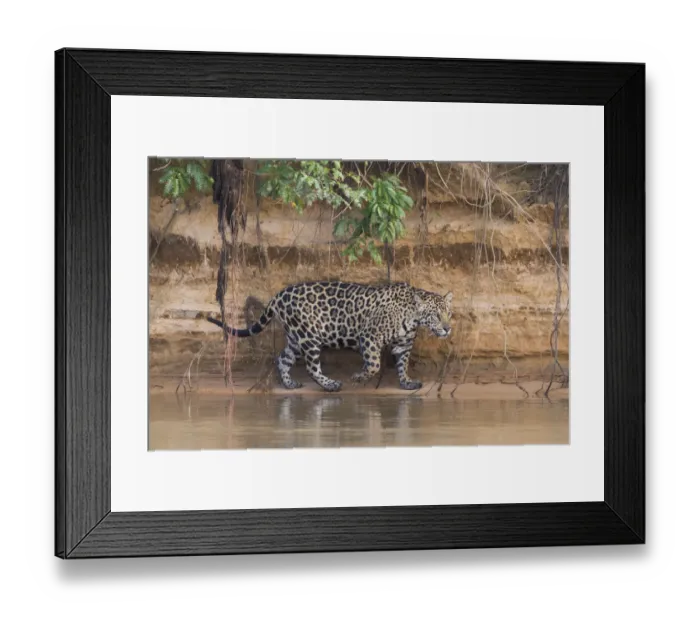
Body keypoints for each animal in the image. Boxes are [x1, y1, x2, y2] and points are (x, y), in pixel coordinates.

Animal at [206, 280, 453, 393]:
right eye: (435, 315)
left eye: (448, 313)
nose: (447, 328)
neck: (412, 316)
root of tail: (279, 295)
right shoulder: (370, 337)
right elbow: (373, 364)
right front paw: (359, 377)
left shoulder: (403, 344)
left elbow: (402, 363)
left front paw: (407, 382)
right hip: (309, 337)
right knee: (311, 367)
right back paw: (331, 384)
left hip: (295, 338)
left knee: (283, 358)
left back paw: (289, 384)